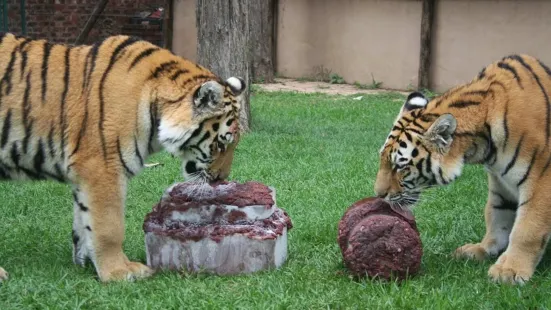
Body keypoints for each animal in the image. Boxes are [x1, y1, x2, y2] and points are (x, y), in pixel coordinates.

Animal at [0, 32, 246, 282]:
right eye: (221, 144)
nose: (221, 179)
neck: (156, 105)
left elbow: (82, 221)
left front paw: (85, 261)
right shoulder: (102, 167)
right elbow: (109, 227)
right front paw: (118, 271)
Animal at [378, 54, 551, 284]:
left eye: (401, 166)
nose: (378, 195)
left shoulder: (541, 179)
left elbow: (527, 227)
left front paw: (510, 270)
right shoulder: (500, 181)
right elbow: (497, 215)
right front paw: (482, 249)